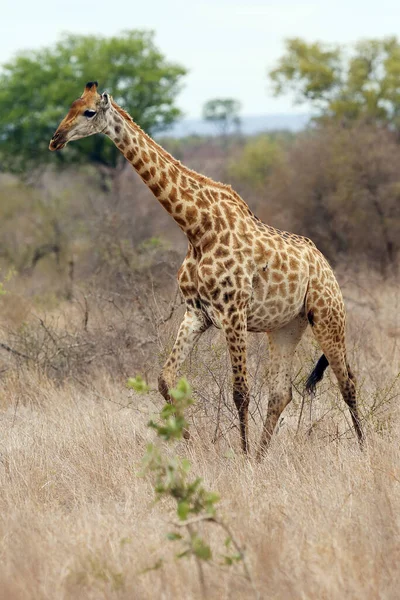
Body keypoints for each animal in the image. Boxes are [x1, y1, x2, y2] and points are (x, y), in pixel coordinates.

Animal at [48, 83, 364, 454]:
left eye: (88, 112)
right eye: (70, 106)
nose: (56, 138)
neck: (197, 228)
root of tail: (326, 266)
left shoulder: (233, 313)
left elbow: (240, 392)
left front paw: (241, 455)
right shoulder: (197, 314)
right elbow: (165, 379)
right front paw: (190, 438)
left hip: (328, 316)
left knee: (347, 382)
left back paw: (362, 448)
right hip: (286, 326)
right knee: (281, 393)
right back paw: (263, 455)